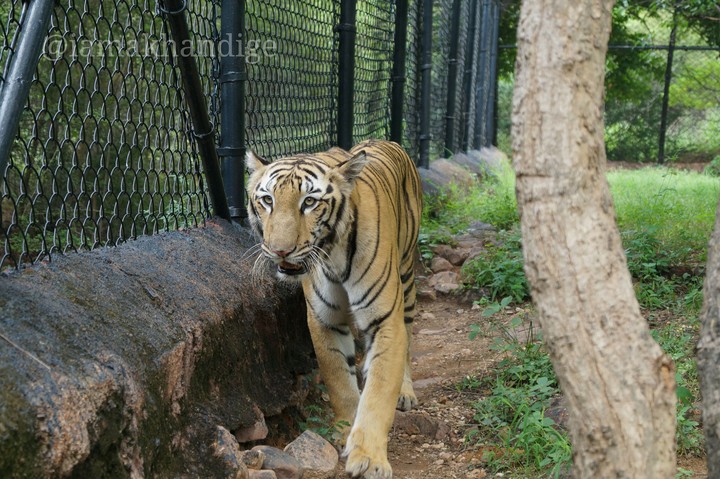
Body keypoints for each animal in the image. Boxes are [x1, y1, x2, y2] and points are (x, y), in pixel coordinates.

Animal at [245, 139, 422, 479]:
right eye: (267, 200)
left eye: (310, 202)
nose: (280, 250)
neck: (333, 253)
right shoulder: (323, 320)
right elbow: (340, 381)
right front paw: (346, 431)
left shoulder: (384, 320)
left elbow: (379, 392)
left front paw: (369, 459)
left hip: (406, 277)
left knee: (407, 340)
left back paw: (405, 392)